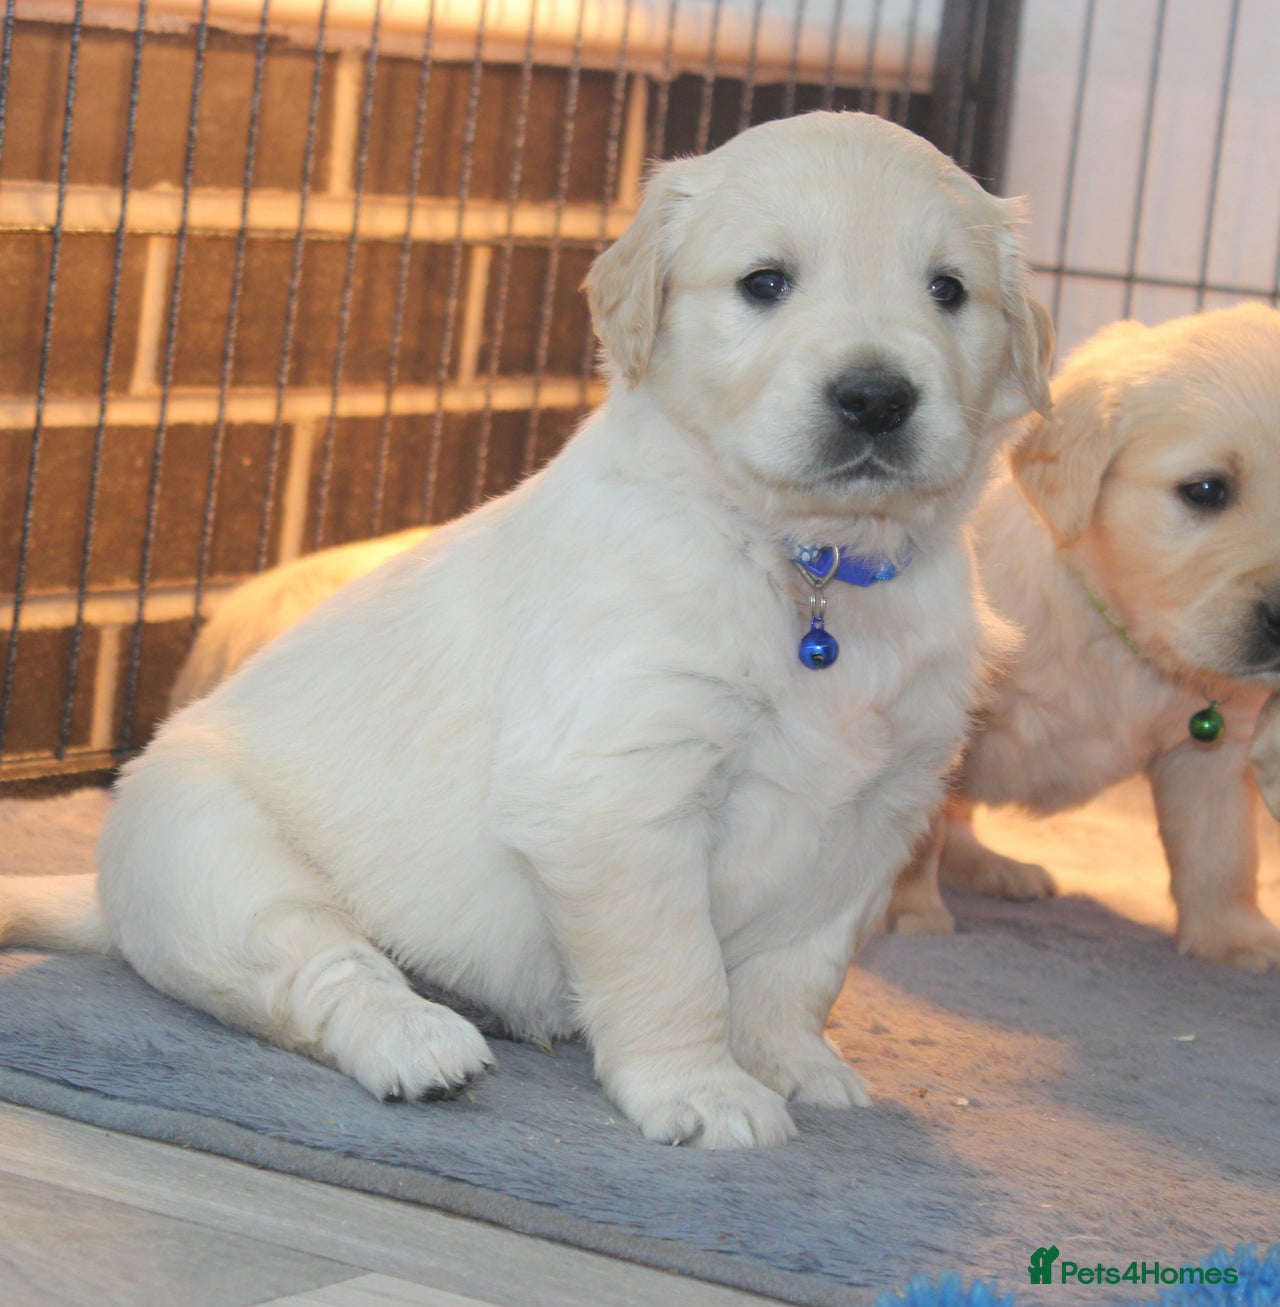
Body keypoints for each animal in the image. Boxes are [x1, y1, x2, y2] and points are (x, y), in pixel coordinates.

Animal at [0, 115, 1051, 1155]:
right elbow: (677, 968)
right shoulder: (619, 791)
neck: (813, 562)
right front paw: (704, 1090)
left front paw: (796, 1063)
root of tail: (109, 898)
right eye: (765, 282)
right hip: (216, 856)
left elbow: (801, 965)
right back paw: (420, 1042)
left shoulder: (879, 811)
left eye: (948, 289)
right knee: (320, 967)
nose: (875, 397)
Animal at [889, 300, 1280, 967]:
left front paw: (1236, 939)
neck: (1119, 636)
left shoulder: (1214, 746)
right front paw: (906, 912)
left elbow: (1223, 848)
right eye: (1206, 490)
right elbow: (917, 825)